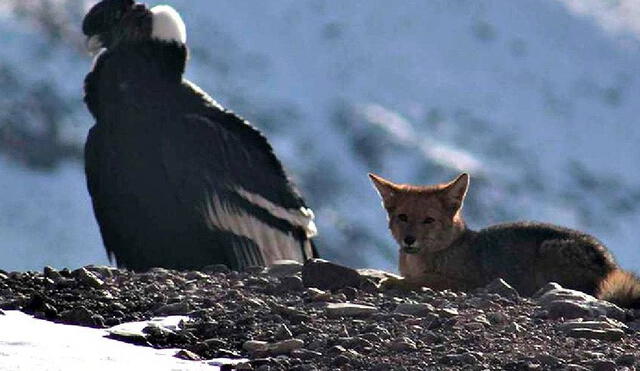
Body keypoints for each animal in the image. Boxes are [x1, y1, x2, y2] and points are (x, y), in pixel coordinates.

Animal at [368, 173, 640, 310]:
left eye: (428, 220)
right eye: (403, 217)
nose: (409, 240)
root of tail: (609, 262)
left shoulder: (467, 282)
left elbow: (422, 280)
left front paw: (393, 281)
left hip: (548, 251)